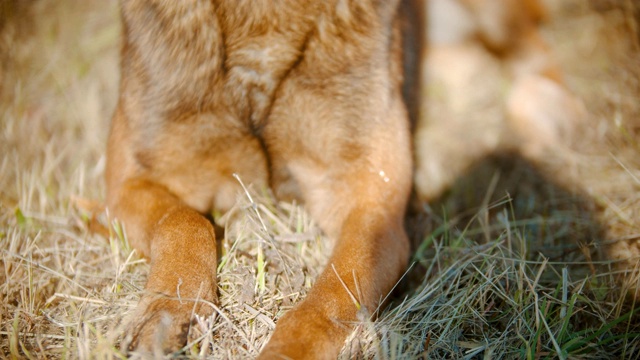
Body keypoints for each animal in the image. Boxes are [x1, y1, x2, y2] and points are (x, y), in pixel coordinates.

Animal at [107, 0, 422, 358]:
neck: (262, 15)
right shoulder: (129, 186)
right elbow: (183, 221)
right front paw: (170, 308)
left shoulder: (371, 206)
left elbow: (333, 290)